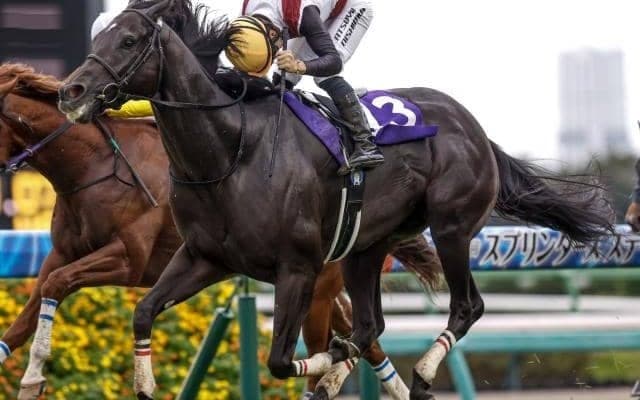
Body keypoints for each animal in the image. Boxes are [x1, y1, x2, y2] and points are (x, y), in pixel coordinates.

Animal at [0, 63, 440, 399]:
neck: (92, 168)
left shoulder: (128, 259)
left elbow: (58, 284)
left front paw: (33, 377)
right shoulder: (60, 253)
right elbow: (26, 316)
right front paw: (25, 375)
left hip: (316, 283)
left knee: (335, 345)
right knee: (363, 339)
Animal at [58, 1, 614, 399]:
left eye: (129, 40)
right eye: (98, 37)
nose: (71, 91)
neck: (231, 152)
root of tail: (472, 126)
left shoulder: (297, 268)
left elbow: (283, 360)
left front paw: (327, 363)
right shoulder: (204, 257)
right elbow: (144, 311)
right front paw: (145, 385)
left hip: (452, 228)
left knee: (465, 306)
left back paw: (420, 374)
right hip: (364, 248)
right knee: (372, 324)